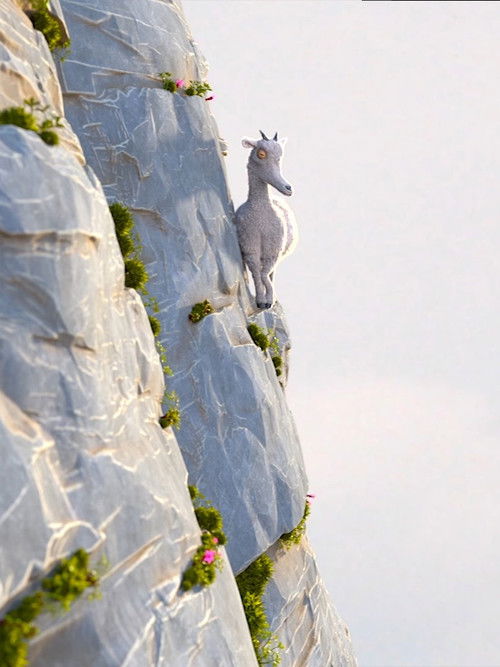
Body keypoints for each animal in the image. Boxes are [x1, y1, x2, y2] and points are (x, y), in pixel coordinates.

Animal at [235, 130, 298, 309]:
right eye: (261, 153)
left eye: (280, 156)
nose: (288, 188)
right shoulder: (249, 245)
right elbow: (257, 273)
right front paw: (260, 301)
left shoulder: (273, 249)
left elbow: (264, 273)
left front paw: (269, 300)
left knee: (271, 273)